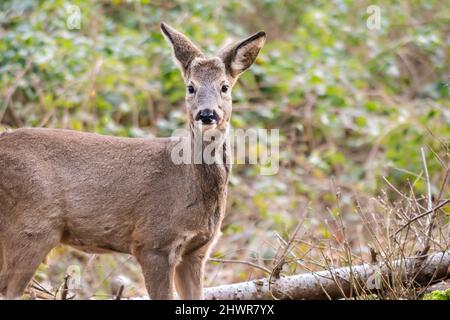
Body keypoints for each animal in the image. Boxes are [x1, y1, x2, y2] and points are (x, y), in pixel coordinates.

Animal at [0, 23, 268, 300]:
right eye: (190, 87)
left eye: (224, 87)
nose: (207, 114)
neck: (189, 185)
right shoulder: (152, 243)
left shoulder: (197, 251)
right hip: (31, 227)